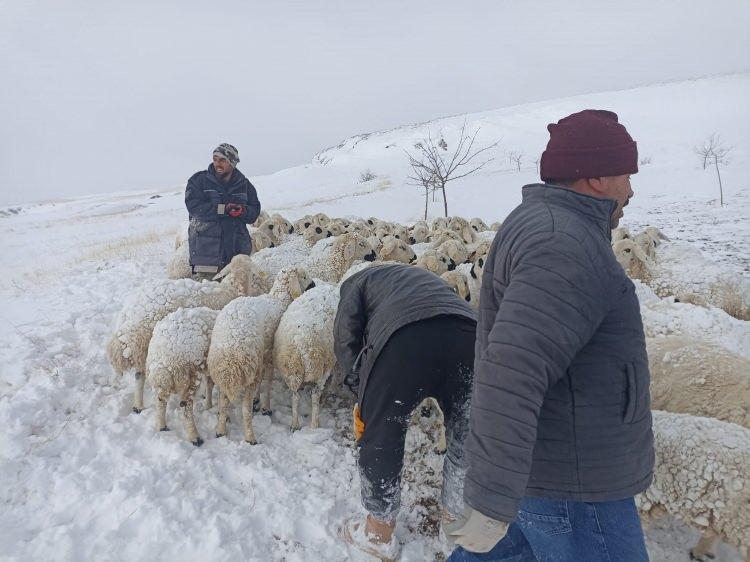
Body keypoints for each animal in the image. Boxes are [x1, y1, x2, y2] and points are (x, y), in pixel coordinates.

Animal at [105, 254, 270, 412]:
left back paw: (135, 403)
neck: (234, 287)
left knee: (138, 375)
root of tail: (132, 313)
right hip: (145, 343)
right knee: (140, 376)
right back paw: (139, 404)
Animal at [145, 304, 219, 444]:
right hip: (189, 377)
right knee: (186, 408)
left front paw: (208, 404)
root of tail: (162, 357)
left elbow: (209, 384)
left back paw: (162, 426)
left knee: (160, 400)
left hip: (163, 380)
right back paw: (195, 437)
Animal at [207, 266, 316, 442]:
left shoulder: (262, 359)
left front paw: (259, 400)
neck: (278, 300)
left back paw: (221, 430)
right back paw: (250, 437)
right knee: (245, 408)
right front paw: (265, 406)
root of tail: (230, 359)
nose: (313, 285)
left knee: (223, 403)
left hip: (223, 373)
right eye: (304, 276)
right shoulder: (269, 355)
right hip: (248, 369)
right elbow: (268, 381)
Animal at [274, 282, 340, 430]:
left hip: (292, 373)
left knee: (295, 396)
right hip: (321, 368)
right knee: (315, 396)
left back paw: (295, 424)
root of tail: (301, 343)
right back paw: (314, 425)